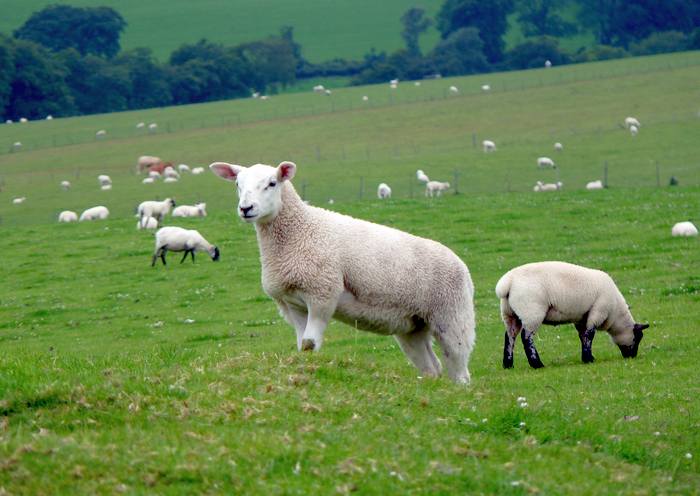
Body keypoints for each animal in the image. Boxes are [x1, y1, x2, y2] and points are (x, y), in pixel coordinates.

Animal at [209, 160, 475, 384]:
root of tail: (463, 267)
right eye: (237, 184)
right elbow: (301, 344)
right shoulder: (293, 303)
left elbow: (310, 343)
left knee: (459, 366)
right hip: (412, 325)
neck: (299, 230)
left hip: (451, 316)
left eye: (272, 183)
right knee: (432, 366)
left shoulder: (322, 293)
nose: (246, 208)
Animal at [496, 261, 650, 369]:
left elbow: (583, 336)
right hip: (532, 312)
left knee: (510, 336)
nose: (632, 356)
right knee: (526, 337)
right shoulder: (598, 312)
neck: (615, 313)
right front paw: (588, 359)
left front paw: (587, 357)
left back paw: (508, 364)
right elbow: (590, 335)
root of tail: (507, 283)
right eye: (637, 338)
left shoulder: (581, 318)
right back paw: (537, 364)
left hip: (509, 314)